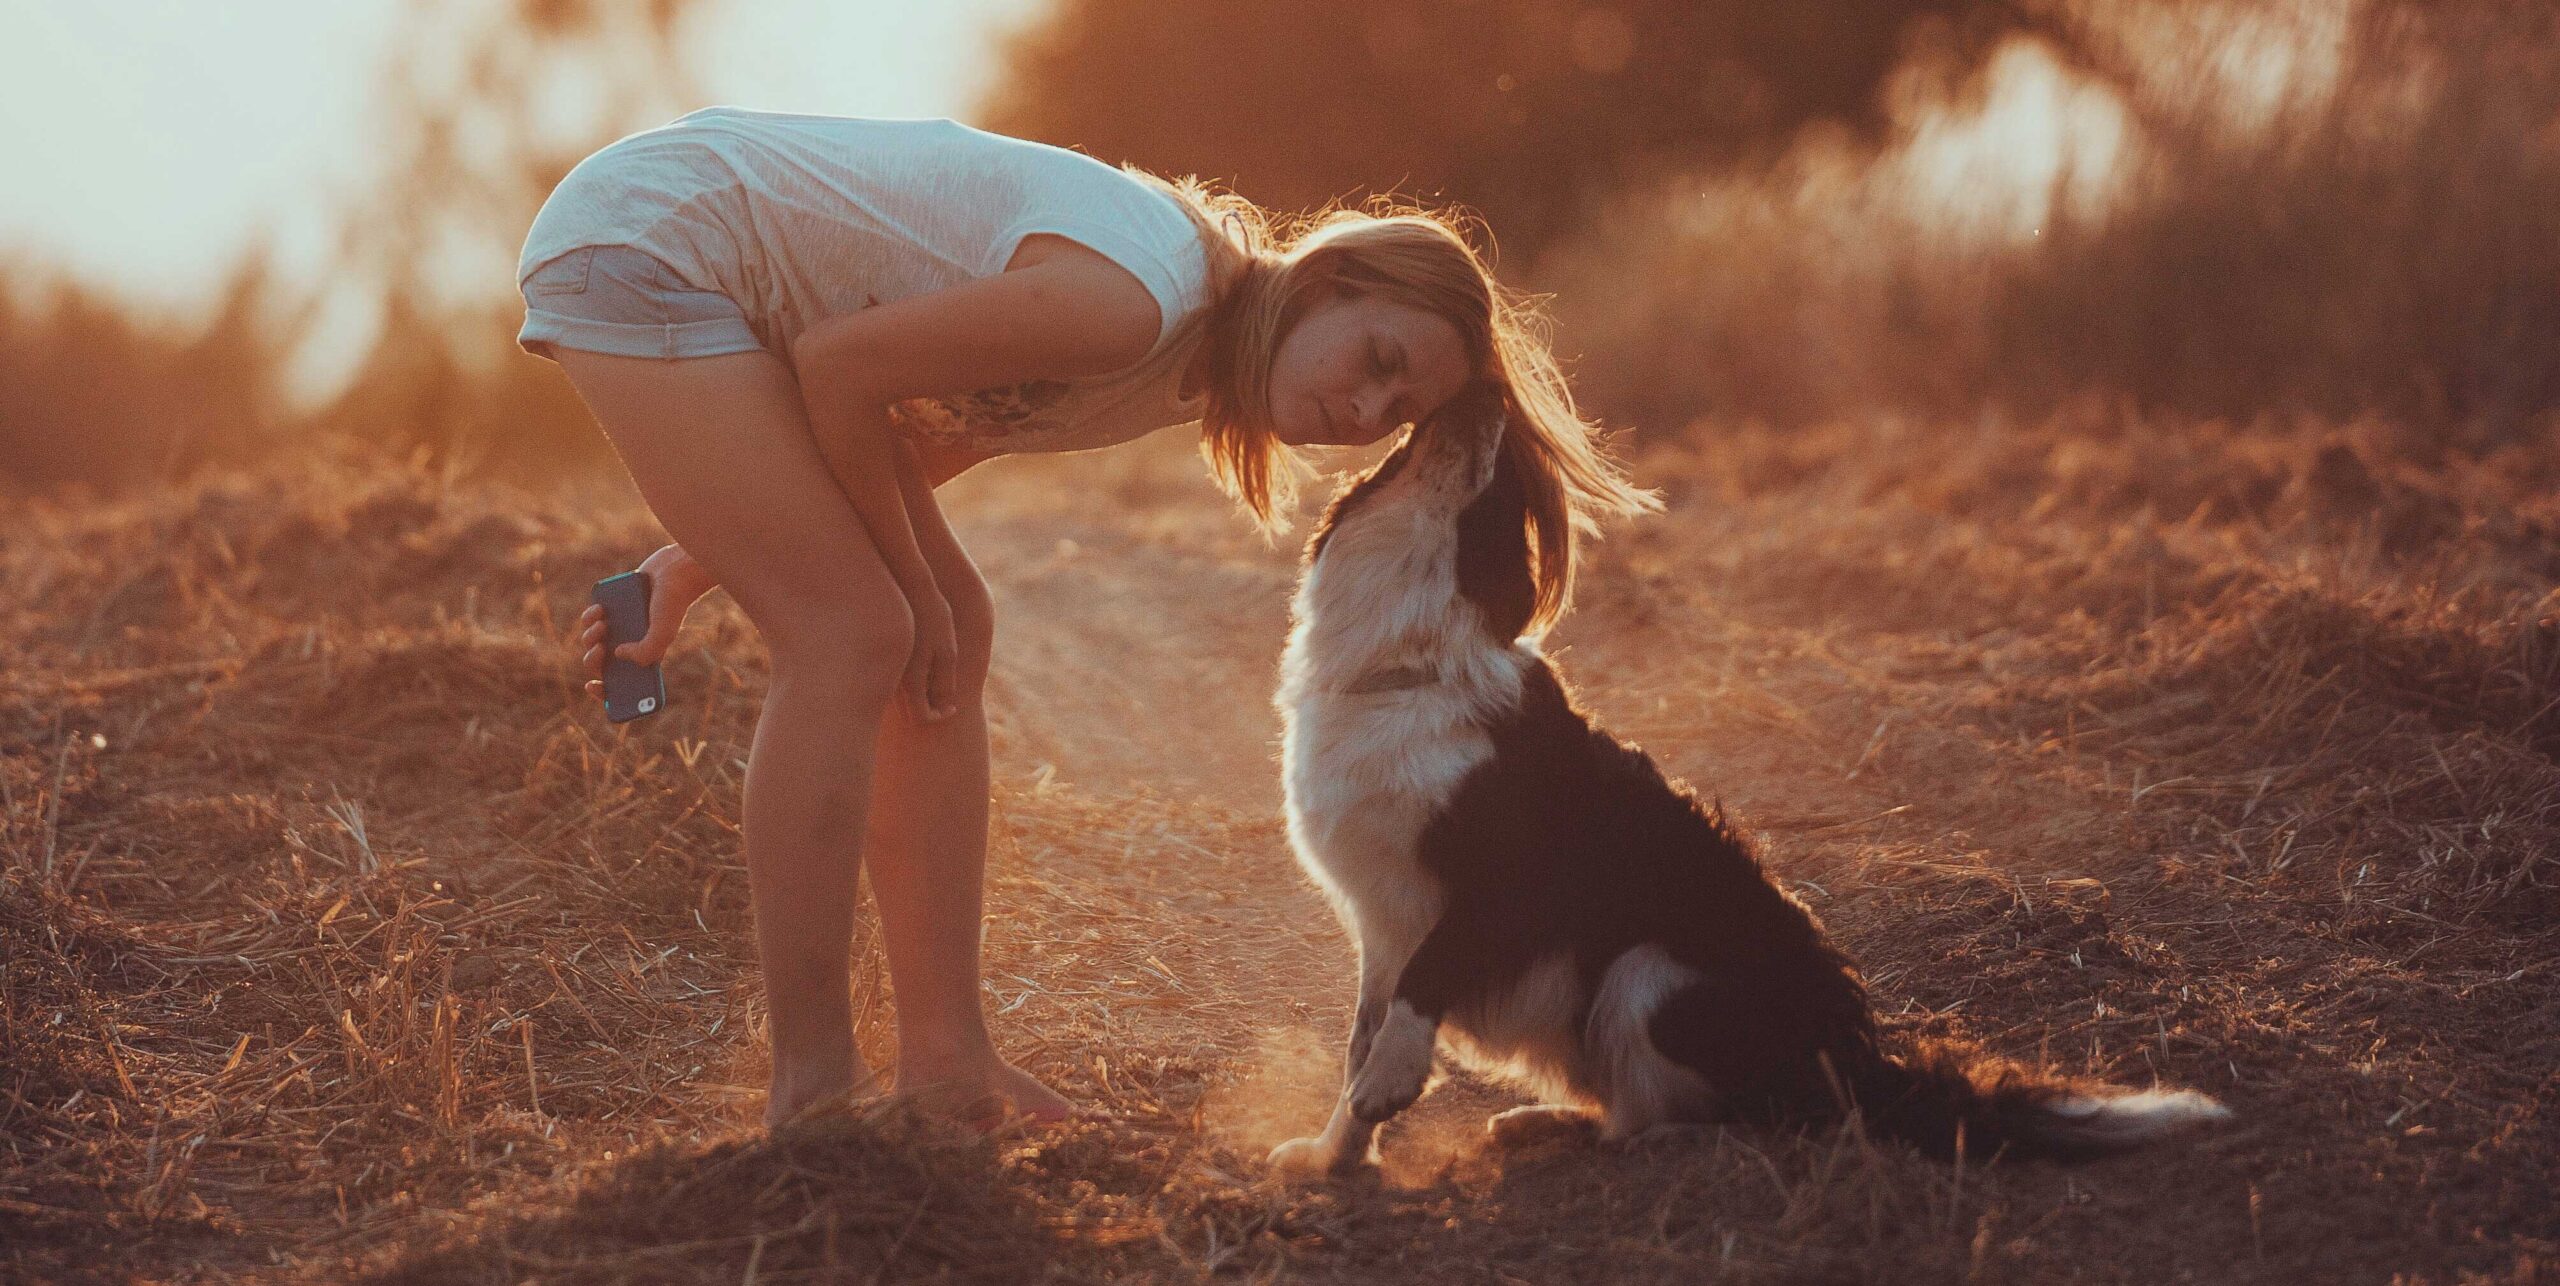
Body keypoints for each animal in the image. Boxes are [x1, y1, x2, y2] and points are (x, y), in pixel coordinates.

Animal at [1269, 399, 2232, 1173]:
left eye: (1506, 497)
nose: (1478, 392)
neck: (1407, 666)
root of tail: (1856, 1064)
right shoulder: (1378, 921)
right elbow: (1360, 1038)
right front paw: (1333, 1156)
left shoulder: (1495, 891)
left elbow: (1416, 994)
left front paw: (1387, 1090)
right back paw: (1543, 1124)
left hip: (1650, 973)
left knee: (1718, 1121)